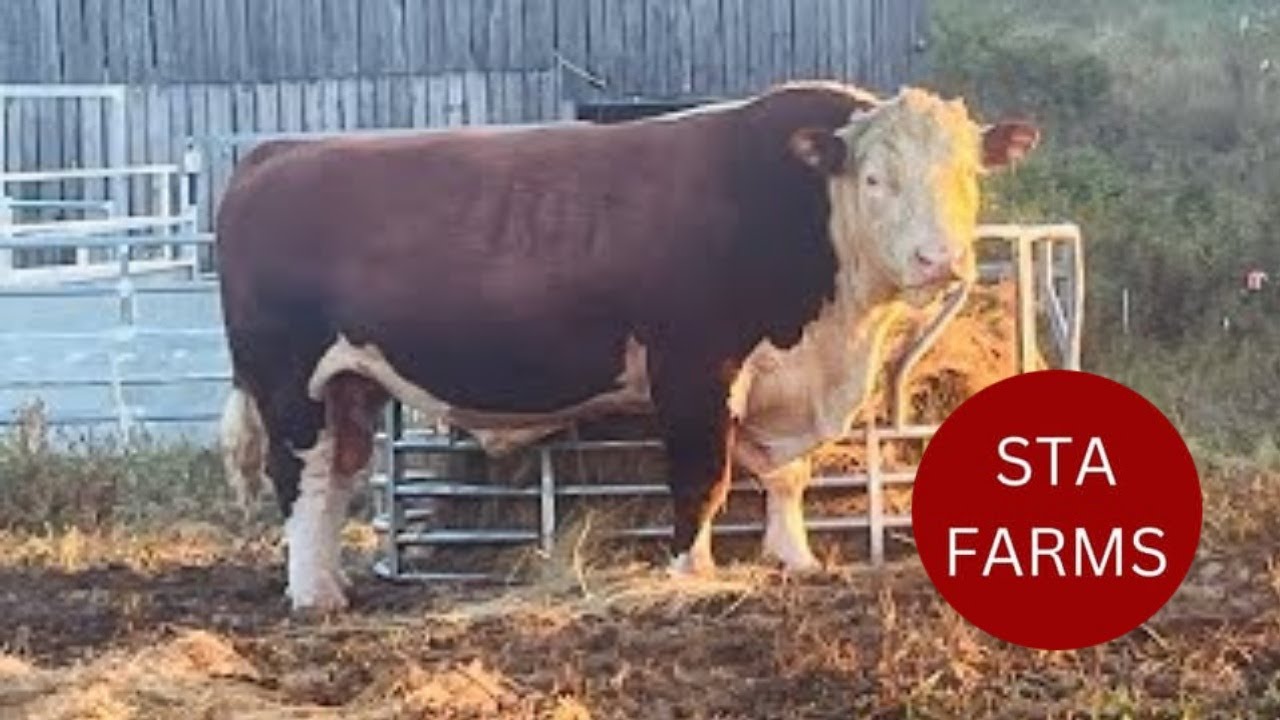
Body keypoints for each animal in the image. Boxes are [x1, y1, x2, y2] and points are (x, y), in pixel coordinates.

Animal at [215, 80, 1039, 612]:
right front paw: (692, 572)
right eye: (874, 178)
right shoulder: (694, 368)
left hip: (349, 385)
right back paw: (313, 599)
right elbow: (702, 477)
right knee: (303, 480)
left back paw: (331, 584)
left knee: (335, 479)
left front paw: (795, 558)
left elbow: (787, 475)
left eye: (969, 173)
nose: (940, 259)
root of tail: (274, 155)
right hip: (289, 383)